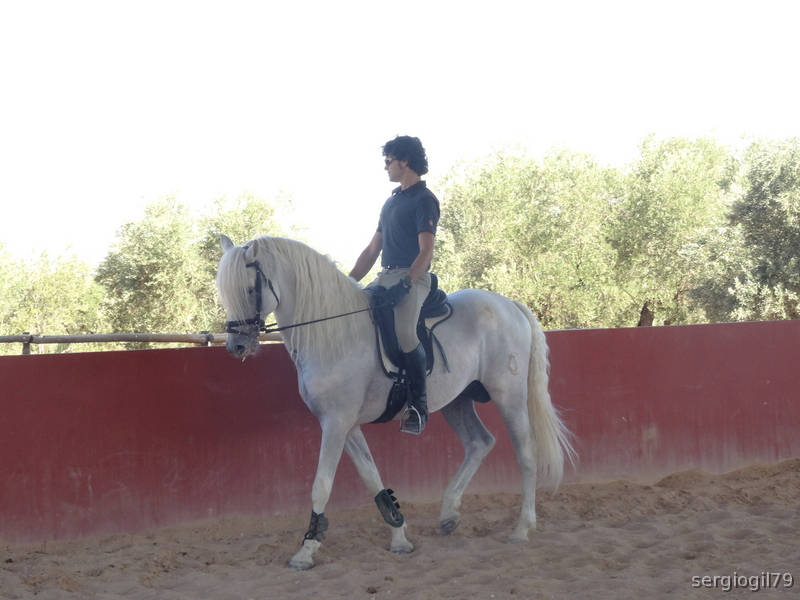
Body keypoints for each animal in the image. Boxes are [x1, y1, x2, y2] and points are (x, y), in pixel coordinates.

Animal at [216, 234, 576, 570]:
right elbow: (372, 477)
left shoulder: (335, 423)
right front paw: (399, 536)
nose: (236, 347)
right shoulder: (346, 425)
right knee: (480, 443)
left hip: (508, 396)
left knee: (525, 453)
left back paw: (521, 529)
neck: (333, 332)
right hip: (456, 401)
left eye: (250, 289)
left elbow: (322, 485)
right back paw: (449, 514)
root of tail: (509, 304)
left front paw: (306, 550)